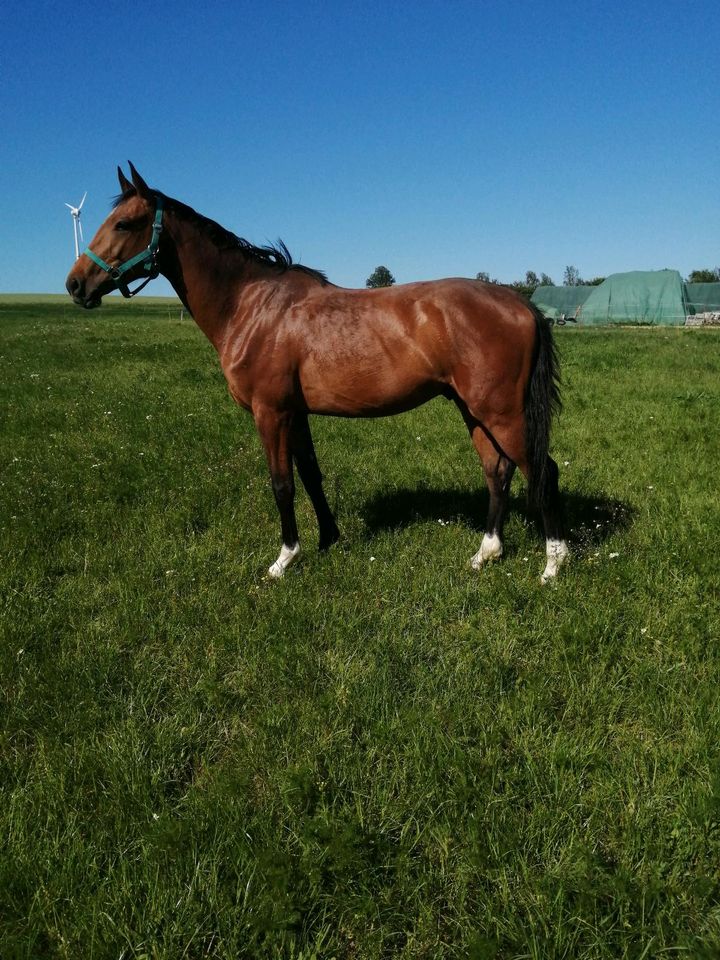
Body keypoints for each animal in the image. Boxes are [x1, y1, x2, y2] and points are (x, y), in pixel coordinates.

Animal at [64, 166, 568, 580]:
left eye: (123, 224)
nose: (75, 284)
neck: (251, 306)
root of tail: (521, 304)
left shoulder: (270, 413)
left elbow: (282, 484)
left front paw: (284, 559)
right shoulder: (296, 413)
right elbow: (310, 475)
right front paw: (328, 540)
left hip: (501, 412)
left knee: (542, 470)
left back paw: (553, 564)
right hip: (472, 409)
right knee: (497, 471)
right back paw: (486, 554)